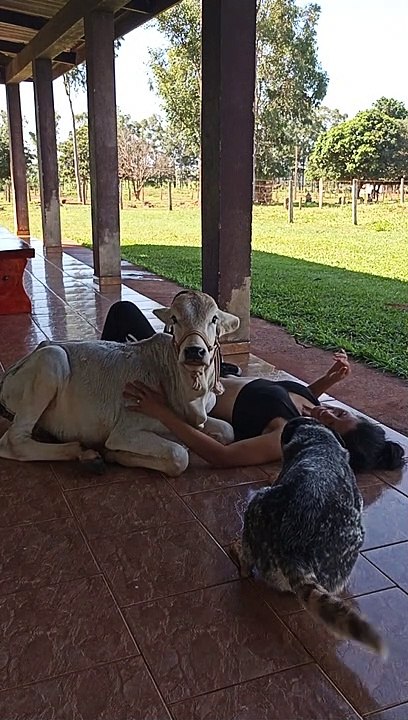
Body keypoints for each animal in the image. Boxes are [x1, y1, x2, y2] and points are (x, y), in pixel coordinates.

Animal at [0, 291, 239, 476]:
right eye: (174, 318)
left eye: (214, 319)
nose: (194, 351)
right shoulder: (124, 431)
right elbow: (178, 455)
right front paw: (115, 454)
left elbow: (228, 430)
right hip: (51, 359)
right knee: (14, 441)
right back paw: (85, 454)